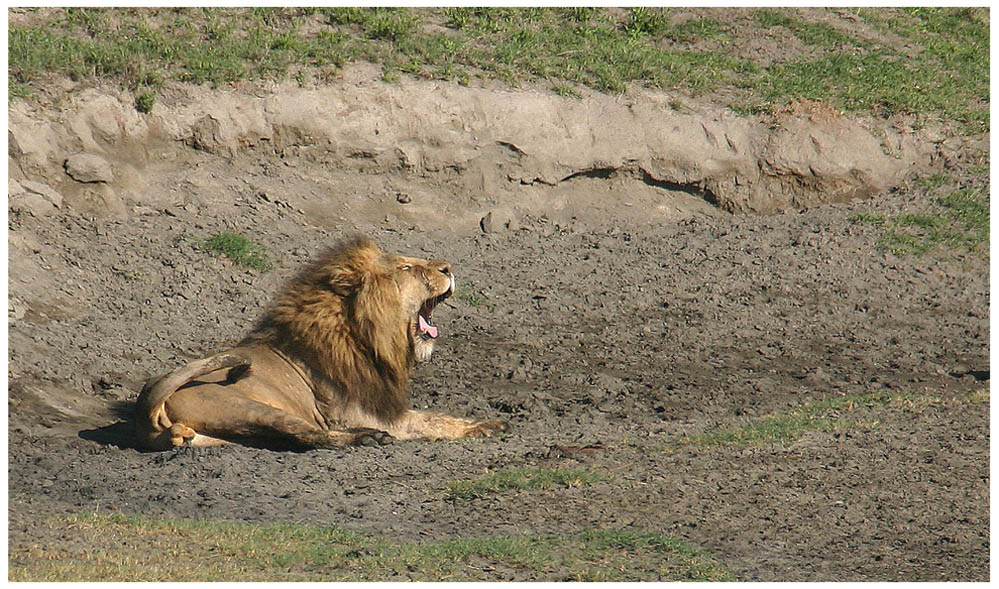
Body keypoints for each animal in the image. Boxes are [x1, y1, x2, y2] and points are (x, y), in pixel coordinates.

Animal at [134, 234, 508, 450]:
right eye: (405, 268)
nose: (448, 268)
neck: (366, 337)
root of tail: (142, 413)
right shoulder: (373, 414)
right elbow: (429, 421)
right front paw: (481, 428)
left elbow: (439, 415)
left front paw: (488, 423)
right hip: (251, 406)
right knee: (311, 435)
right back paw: (366, 438)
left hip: (212, 434)